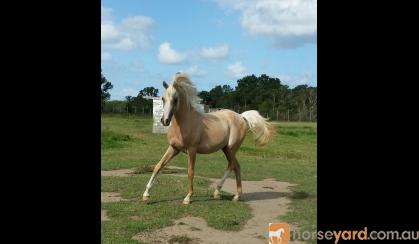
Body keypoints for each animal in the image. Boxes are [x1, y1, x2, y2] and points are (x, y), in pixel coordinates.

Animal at [143, 72, 274, 204]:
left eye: (175, 99)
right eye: (163, 99)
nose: (164, 121)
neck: (185, 123)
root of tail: (241, 116)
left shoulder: (192, 150)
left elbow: (190, 172)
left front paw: (188, 197)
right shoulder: (174, 148)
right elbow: (158, 166)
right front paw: (146, 194)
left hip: (231, 148)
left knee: (234, 166)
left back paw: (233, 195)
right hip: (226, 149)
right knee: (233, 166)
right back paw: (220, 193)